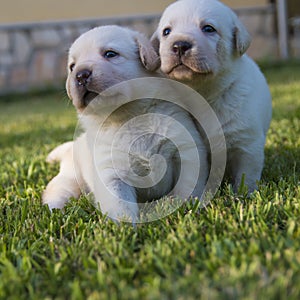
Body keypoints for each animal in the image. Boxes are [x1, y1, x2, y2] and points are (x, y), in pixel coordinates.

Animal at [42, 25, 209, 221]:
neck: (128, 115)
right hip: (70, 178)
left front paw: (185, 208)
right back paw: (53, 209)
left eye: (110, 54)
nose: (81, 75)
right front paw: (125, 225)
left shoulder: (186, 150)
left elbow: (187, 187)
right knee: (56, 191)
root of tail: (73, 145)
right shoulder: (110, 173)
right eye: (72, 66)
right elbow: (120, 205)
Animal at [151, 0, 274, 192]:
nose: (179, 46)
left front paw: (244, 194)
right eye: (166, 31)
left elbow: (246, 176)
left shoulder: (247, 143)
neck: (203, 93)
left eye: (208, 29)